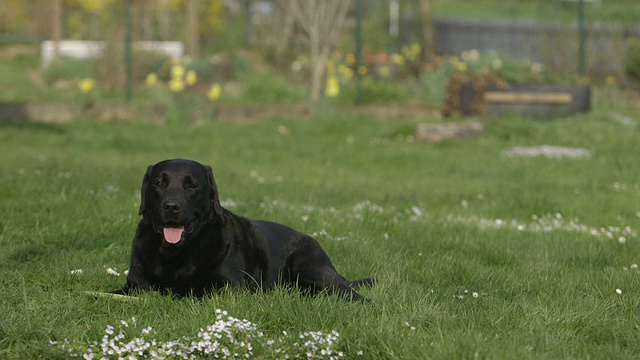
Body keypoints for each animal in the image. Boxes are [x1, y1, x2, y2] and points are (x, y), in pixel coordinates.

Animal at [115, 159, 372, 302]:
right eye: (159, 183)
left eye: (192, 185)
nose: (171, 206)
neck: (175, 255)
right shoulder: (134, 286)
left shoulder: (231, 288)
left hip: (310, 269)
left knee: (355, 296)